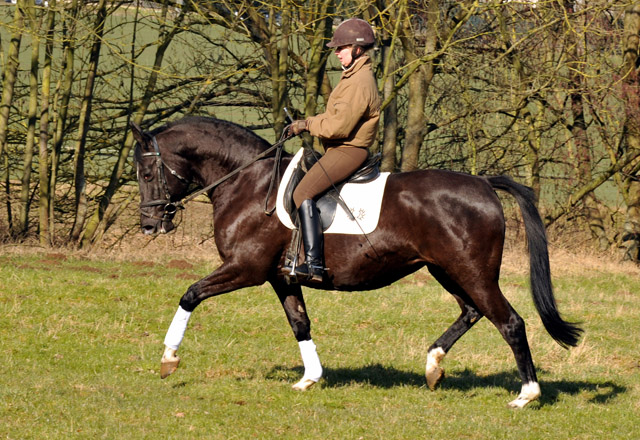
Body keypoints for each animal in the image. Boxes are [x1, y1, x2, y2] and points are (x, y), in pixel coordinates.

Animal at [132, 117, 584, 410]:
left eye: (146, 171)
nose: (150, 225)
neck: (250, 184)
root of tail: (483, 184)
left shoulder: (246, 269)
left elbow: (190, 294)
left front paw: (169, 359)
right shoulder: (282, 278)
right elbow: (300, 324)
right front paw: (309, 378)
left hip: (472, 272)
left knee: (509, 322)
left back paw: (526, 395)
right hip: (446, 270)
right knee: (472, 311)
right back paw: (433, 366)